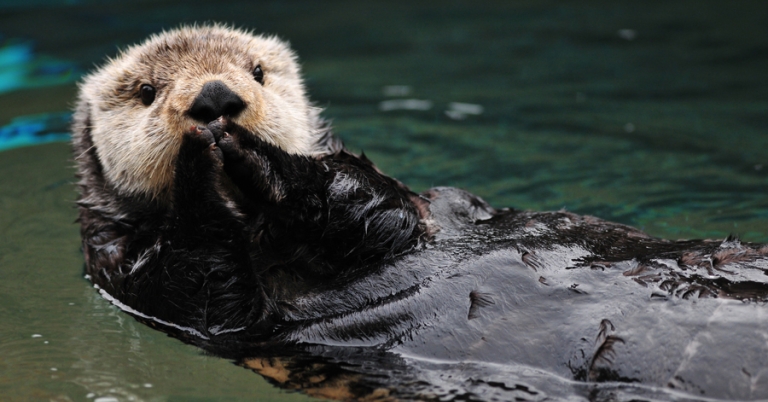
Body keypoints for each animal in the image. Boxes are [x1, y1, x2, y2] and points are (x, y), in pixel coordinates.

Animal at [73, 26, 768, 400]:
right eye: (146, 92)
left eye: (258, 71)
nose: (216, 100)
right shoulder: (133, 277)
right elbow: (212, 289)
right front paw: (201, 169)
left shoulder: (406, 208)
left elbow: (368, 201)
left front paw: (259, 157)